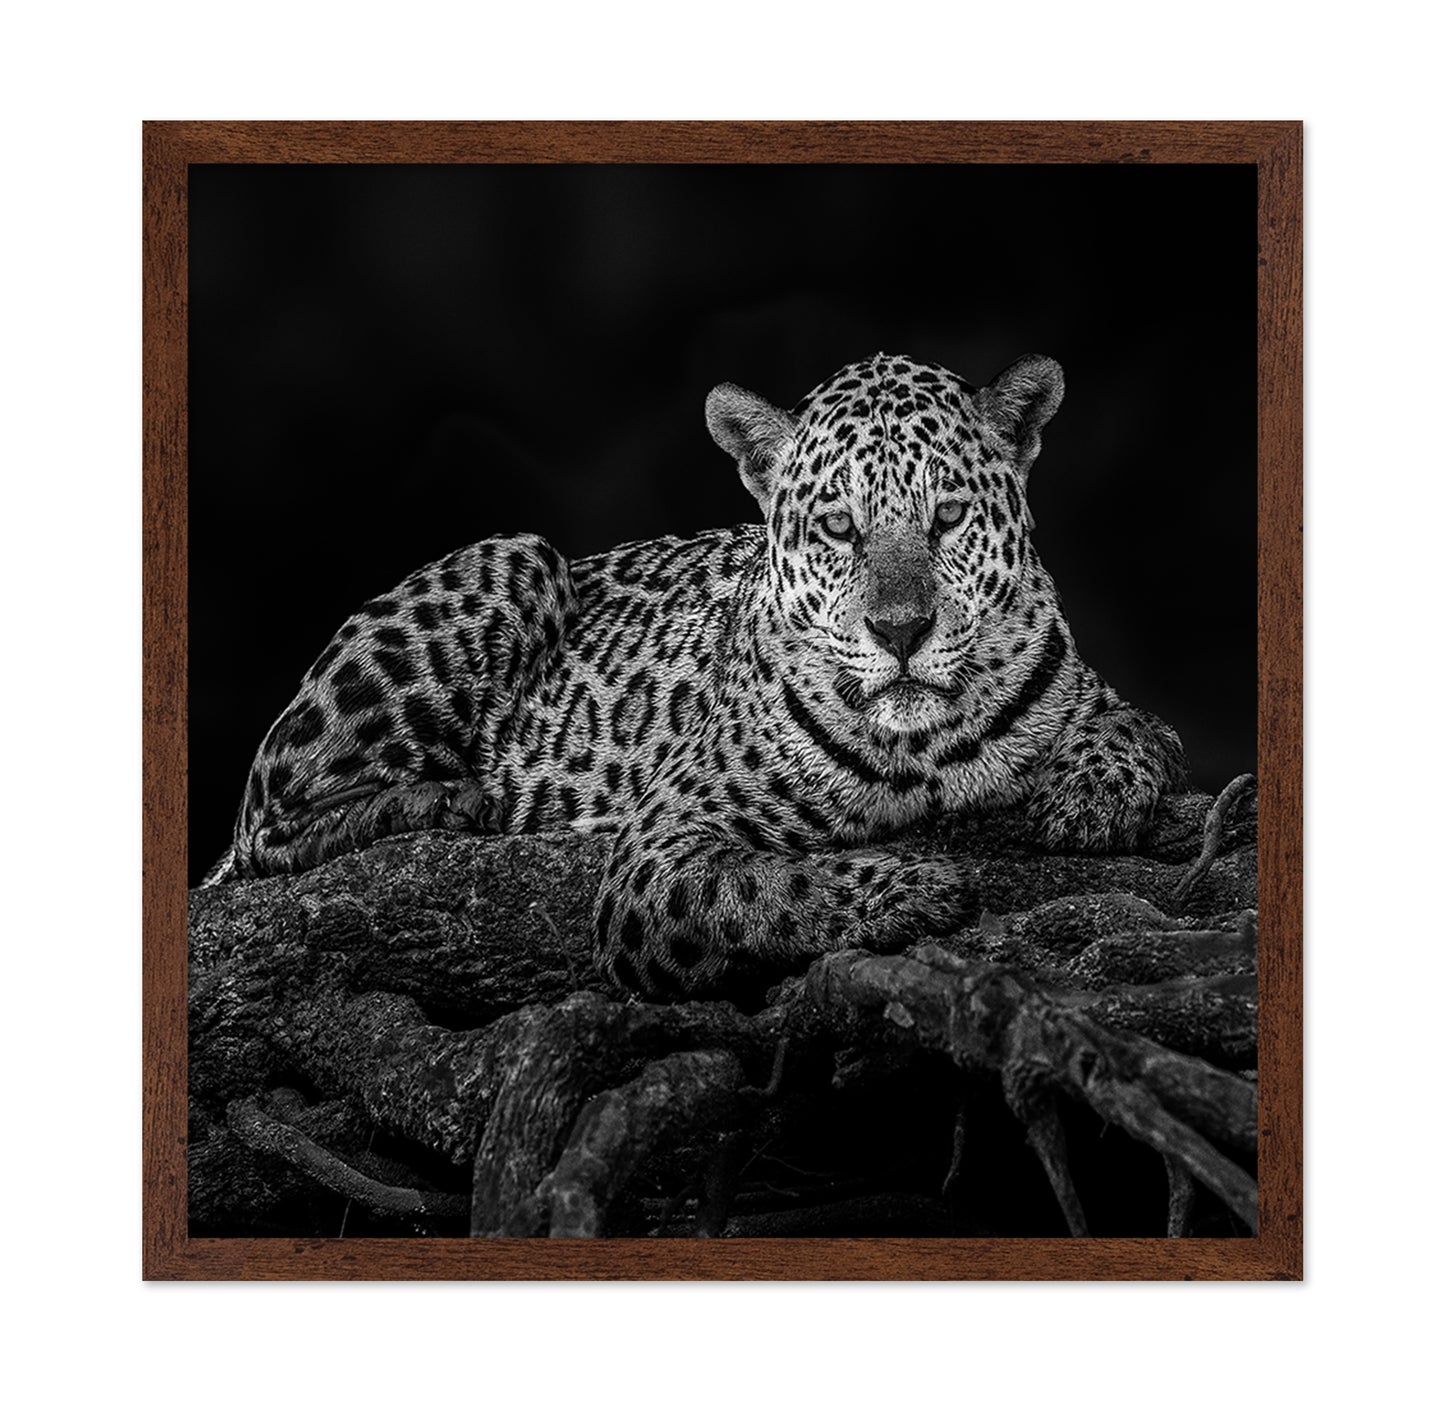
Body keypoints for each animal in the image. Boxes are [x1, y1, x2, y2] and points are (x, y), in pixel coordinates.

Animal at [202, 351, 1187, 1001]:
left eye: (946, 516)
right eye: (838, 526)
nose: (901, 630)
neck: (925, 745)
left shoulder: (1099, 697)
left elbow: (1140, 727)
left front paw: (1089, 795)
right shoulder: (658, 852)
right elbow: (766, 889)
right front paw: (910, 885)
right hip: (515, 555)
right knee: (264, 825)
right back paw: (456, 800)